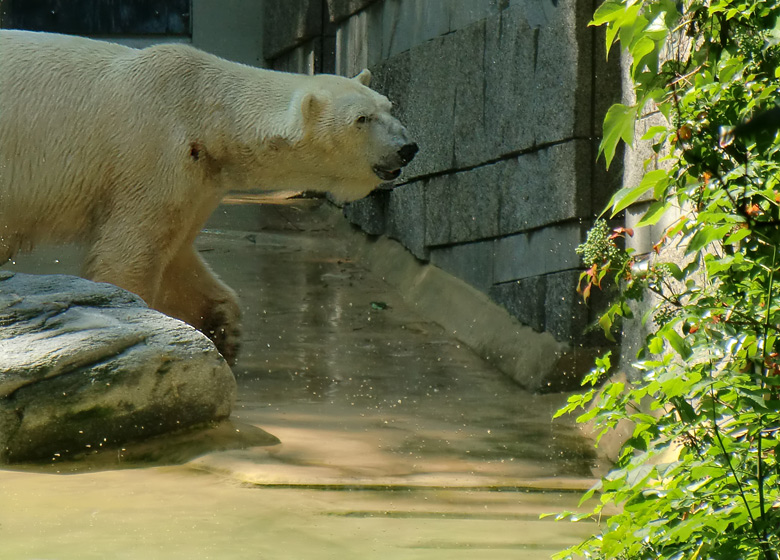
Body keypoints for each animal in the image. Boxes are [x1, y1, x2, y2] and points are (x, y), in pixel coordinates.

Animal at [0, 30, 420, 366]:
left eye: (389, 106)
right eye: (362, 119)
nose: (407, 148)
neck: (204, 109)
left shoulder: (199, 177)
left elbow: (176, 259)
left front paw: (223, 332)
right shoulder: (151, 154)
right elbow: (129, 254)